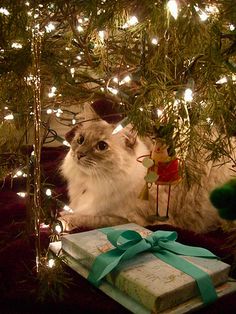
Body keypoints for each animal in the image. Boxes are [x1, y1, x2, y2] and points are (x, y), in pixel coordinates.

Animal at [59, 117, 236, 233]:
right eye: (80, 140)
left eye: (102, 146)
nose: (79, 154)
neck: (91, 181)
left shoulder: (129, 220)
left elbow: (86, 218)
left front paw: (63, 221)